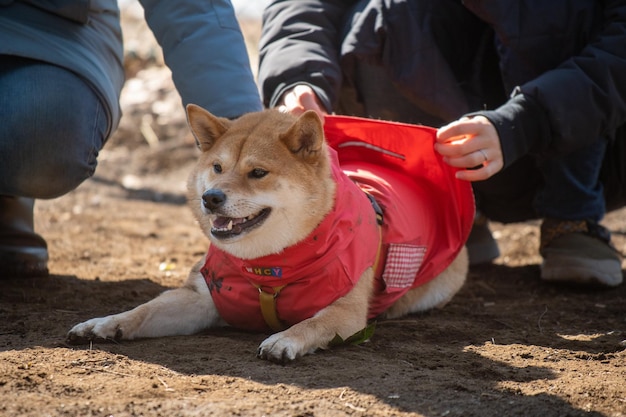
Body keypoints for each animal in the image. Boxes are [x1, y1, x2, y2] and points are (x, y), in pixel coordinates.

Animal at [66, 105, 470, 362]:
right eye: (217, 167)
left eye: (258, 173)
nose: (211, 198)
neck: (267, 265)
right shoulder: (201, 299)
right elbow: (144, 309)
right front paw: (105, 323)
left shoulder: (347, 313)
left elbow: (313, 321)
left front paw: (285, 339)